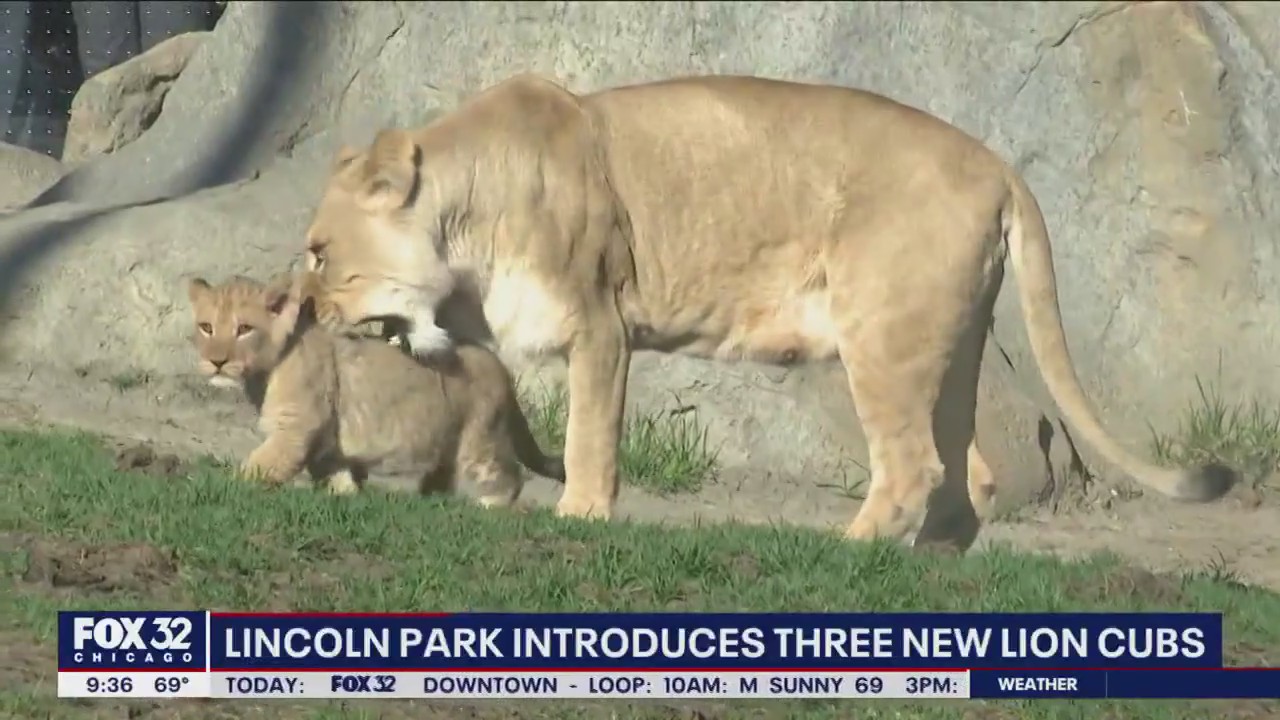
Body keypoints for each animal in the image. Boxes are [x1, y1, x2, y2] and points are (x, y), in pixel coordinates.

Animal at [183, 269, 565, 504]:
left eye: (244, 329)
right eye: (206, 327)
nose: (216, 362)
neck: (264, 373)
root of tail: (497, 364)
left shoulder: (296, 429)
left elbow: (255, 469)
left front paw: (216, 487)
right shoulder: (327, 444)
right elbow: (338, 478)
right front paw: (345, 496)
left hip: (480, 439)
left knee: (508, 479)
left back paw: (487, 509)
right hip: (446, 444)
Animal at [300, 73, 1237, 547]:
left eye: (318, 253)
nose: (300, 306)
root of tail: (999, 164)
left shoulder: (601, 322)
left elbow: (589, 432)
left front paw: (581, 516)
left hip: (881, 335)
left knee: (913, 466)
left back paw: (846, 552)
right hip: (954, 343)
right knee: (967, 472)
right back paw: (927, 572)